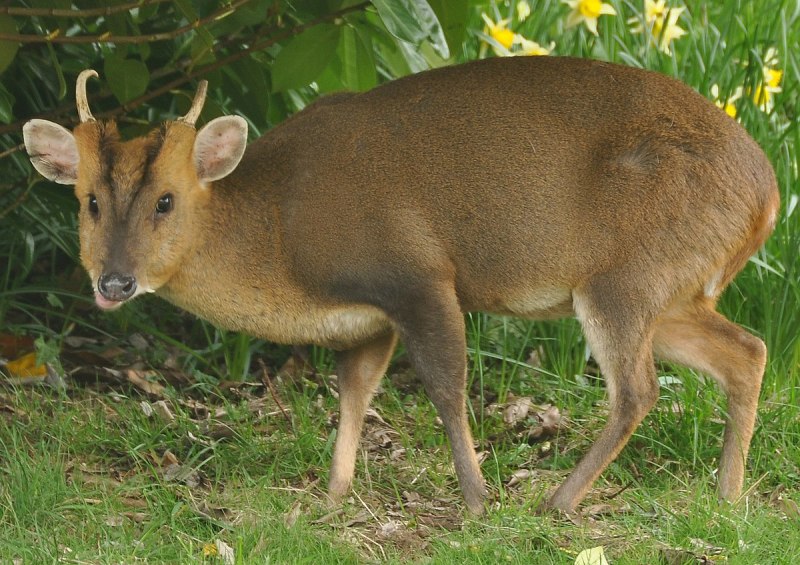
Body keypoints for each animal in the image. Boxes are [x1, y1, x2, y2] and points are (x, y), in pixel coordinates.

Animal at [23, 56, 776, 512]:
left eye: (166, 200)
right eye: (89, 201)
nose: (114, 281)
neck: (282, 232)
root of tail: (766, 195)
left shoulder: (417, 273)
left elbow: (445, 386)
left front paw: (476, 499)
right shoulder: (369, 320)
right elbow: (354, 394)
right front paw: (333, 495)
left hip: (627, 275)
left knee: (639, 387)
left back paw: (559, 501)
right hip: (675, 290)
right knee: (748, 349)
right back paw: (727, 496)